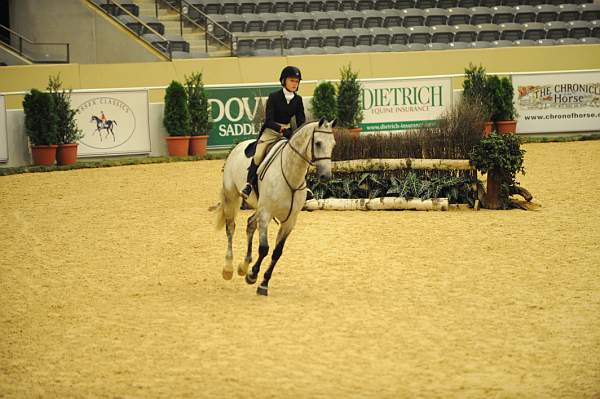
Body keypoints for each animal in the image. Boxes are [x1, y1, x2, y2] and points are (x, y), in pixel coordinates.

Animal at [216, 119, 338, 296]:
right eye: (318, 143)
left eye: (333, 144)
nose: (326, 176)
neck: (291, 175)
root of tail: (238, 146)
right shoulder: (266, 214)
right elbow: (264, 248)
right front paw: (252, 276)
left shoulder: (289, 221)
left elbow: (277, 252)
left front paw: (263, 283)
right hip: (232, 197)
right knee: (230, 228)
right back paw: (228, 268)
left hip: (258, 207)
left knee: (250, 224)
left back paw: (243, 266)